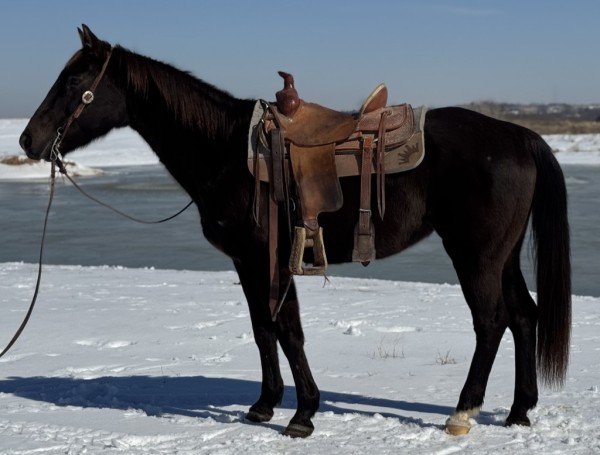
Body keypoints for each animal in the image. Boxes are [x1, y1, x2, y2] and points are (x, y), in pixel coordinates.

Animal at [19, 25, 571, 438]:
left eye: (74, 80)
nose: (27, 140)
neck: (226, 151)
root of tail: (519, 135)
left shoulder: (269, 255)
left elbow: (287, 329)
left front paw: (303, 413)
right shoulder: (247, 261)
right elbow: (263, 328)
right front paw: (264, 405)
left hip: (475, 255)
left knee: (491, 322)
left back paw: (463, 412)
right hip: (503, 255)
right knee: (524, 316)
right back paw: (519, 412)